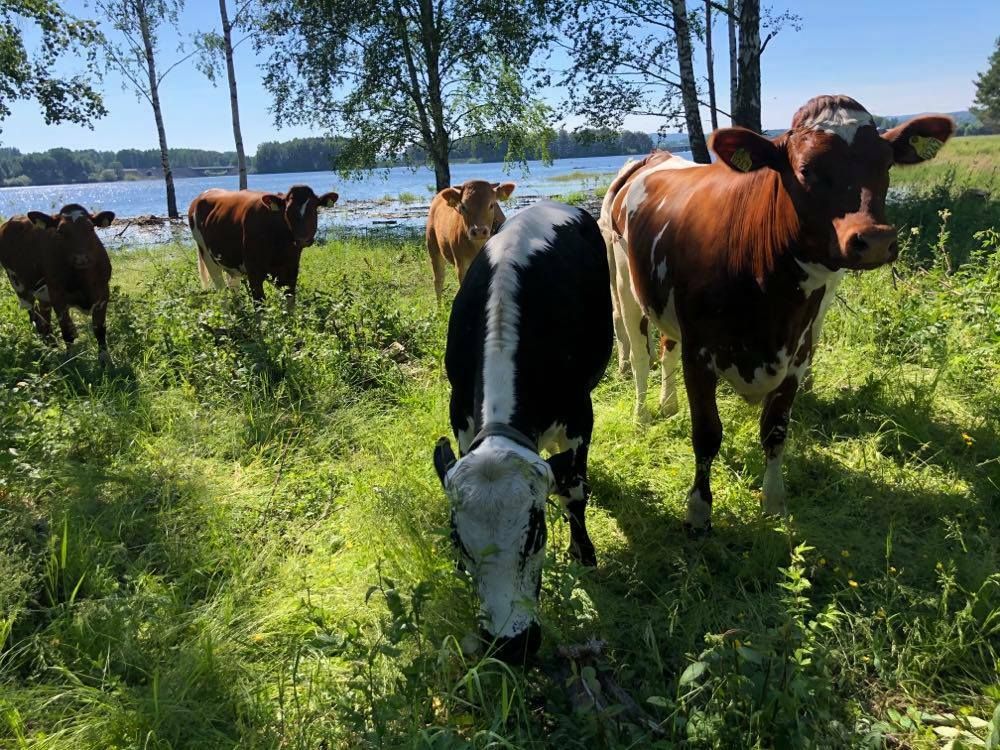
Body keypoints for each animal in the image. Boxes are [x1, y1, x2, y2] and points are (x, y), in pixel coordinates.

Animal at [0, 206, 115, 364]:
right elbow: (67, 331)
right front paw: (70, 360)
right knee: (34, 315)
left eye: (91, 228)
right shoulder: (57, 296)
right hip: (19, 286)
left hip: (43, 295)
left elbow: (100, 330)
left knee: (44, 314)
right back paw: (47, 344)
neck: (82, 279)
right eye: (60, 231)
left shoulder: (103, 293)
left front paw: (105, 361)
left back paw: (51, 343)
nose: (81, 258)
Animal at [188, 186, 340, 302]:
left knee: (233, 287)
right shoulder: (254, 272)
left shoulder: (291, 270)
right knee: (221, 291)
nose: (303, 238)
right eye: (287, 211)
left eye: (314, 208)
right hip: (207, 256)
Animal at [432, 201, 612, 664]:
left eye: (535, 535)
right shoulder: (460, 416)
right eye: (459, 541)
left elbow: (573, 490)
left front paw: (583, 553)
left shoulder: (579, 415)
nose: (510, 645)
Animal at [600, 95, 952, 536]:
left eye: (885, 164)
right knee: (640, 355)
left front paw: (773, 503)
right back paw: (644, 416)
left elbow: (775, 430)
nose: (875, 239)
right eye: (806, 170)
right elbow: (707, 434)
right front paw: (698, 511)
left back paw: (668, 406)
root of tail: (656, 156)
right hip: (625, 285)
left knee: (666, 347)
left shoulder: (798, 354)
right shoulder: (700, 353)